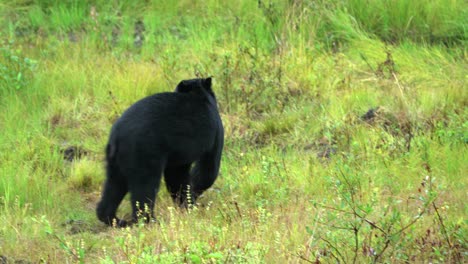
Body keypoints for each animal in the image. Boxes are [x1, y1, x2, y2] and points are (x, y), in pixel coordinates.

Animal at [95, 77, 223, 227]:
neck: (197, 92)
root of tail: (117, 136)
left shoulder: (178, 154)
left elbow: (177, 176)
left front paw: (186, 203)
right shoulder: (215, 130)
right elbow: (209, 168)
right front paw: (194, 195)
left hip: (115, 161)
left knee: (114, 185)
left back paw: (116, 220)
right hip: (144, 154)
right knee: (144, 187)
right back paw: (150, 220)